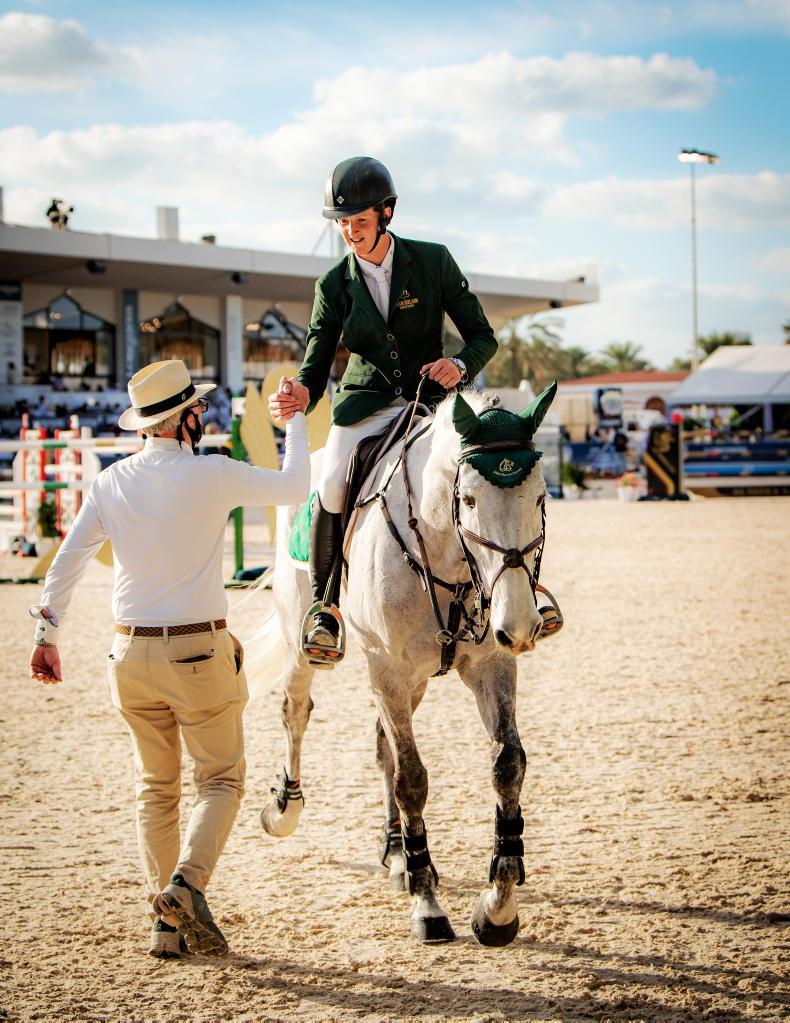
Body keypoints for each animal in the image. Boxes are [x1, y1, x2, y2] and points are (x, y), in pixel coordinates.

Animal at [256, 381, 560, 946]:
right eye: (468, 499)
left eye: (540, 497)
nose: (520, 626)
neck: (448, 555)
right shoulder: (388, 670)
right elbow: (412, 780)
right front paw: (428, 903)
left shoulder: (490, 666)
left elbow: (507, 765)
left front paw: (497, 907)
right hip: (310, 643)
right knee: (296, 710)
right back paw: (285, 808)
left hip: (413, 681)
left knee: (383, 746)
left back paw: (396, 851)